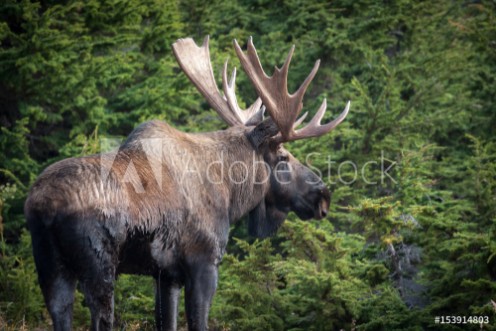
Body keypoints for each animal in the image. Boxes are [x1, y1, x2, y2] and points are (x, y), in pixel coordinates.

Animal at [23, 37, 348, 331]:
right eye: (282, 157)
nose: (323, 196)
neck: (231, 195)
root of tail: (43, 207)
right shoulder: (203, 262)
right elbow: (198, 323)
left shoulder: (165, 275)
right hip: (99, 266)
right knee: (100, 318)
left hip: (50, 267)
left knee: (60, 312)